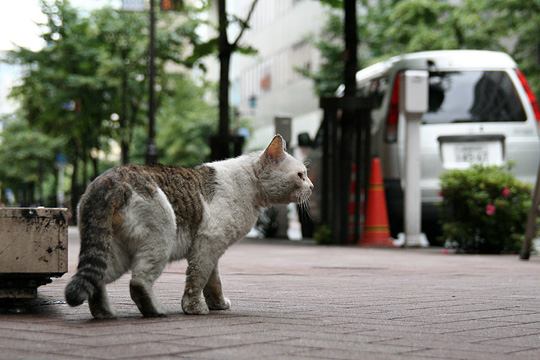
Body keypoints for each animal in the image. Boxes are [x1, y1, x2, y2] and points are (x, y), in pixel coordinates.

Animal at [65, 134, 314, 318]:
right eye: (300, 175)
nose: (312, 186)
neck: (250, 185)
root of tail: (109, 179)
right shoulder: (207, 245)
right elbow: (197, 279)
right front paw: (195, 308)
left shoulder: (212, 250)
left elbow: (213, 282)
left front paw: (218, 305)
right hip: (159, 240)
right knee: (138, 282)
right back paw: (156, 311)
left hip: (115, 251)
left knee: (97, 280)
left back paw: (104, 313)